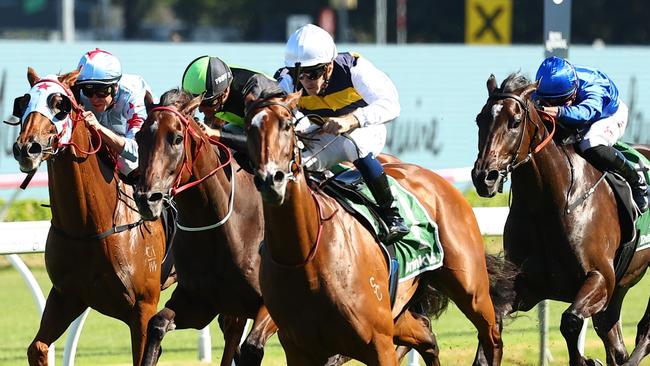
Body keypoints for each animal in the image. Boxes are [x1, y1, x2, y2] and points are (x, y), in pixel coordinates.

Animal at [12, 68, 166, 366]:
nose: (27, 148)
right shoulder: (67, 295)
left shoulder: (143, 307)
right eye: (24, 103)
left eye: (60, 104)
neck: (90, 227)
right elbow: (37, 348)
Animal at [135, 96, 278, 364]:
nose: (147, 199)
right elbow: (157, 325)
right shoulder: (199, 302)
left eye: (176, 138)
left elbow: (253, 346)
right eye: (139, 137)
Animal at [244, 92, 512, 366]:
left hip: (471, 289)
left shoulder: (378, 343)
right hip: (400, 313)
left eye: (287, 125)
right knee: (426, 335)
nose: (271, 180)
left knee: (492, 337)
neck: (306, 256)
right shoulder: (299, 349)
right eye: (248, 128)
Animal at [470, 73, 648, 364]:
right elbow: (492, 321)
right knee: (614, 340)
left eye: (515, 121)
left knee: (644, 332)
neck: (548, 206)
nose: (485, 176)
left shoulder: (600, 277)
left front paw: (587, 360)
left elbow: (571, 321)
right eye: (479, 119)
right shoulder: (527, 285)